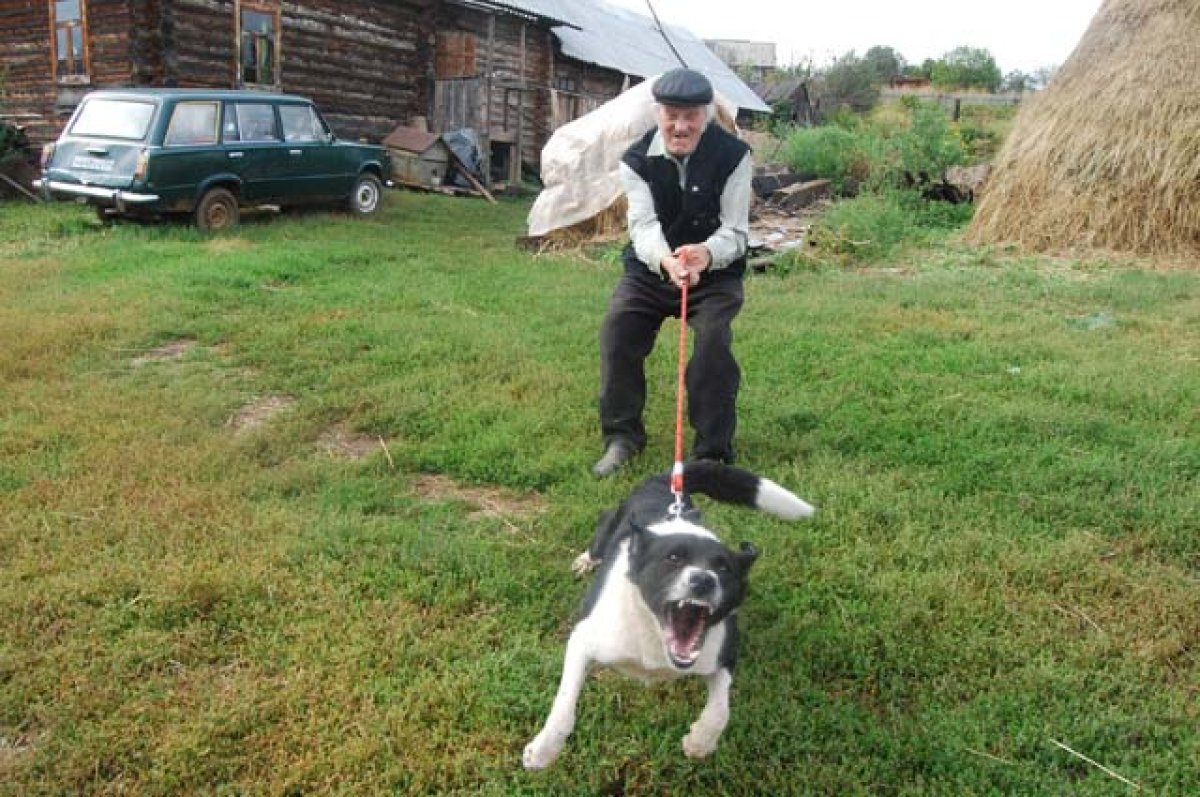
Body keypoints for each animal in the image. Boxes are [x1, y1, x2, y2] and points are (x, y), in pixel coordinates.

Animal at [525, 460, 816, 772]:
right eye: (673, 559)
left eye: (724, 568)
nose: (704, 580)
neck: (655, 634)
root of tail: (665, 481)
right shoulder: (583, 639)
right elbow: (564, 705)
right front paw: (543, 751)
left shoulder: (723, 654)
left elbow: (720, 710)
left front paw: (700, 741)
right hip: (612, 525)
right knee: (603, 523)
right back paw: (586, 559)